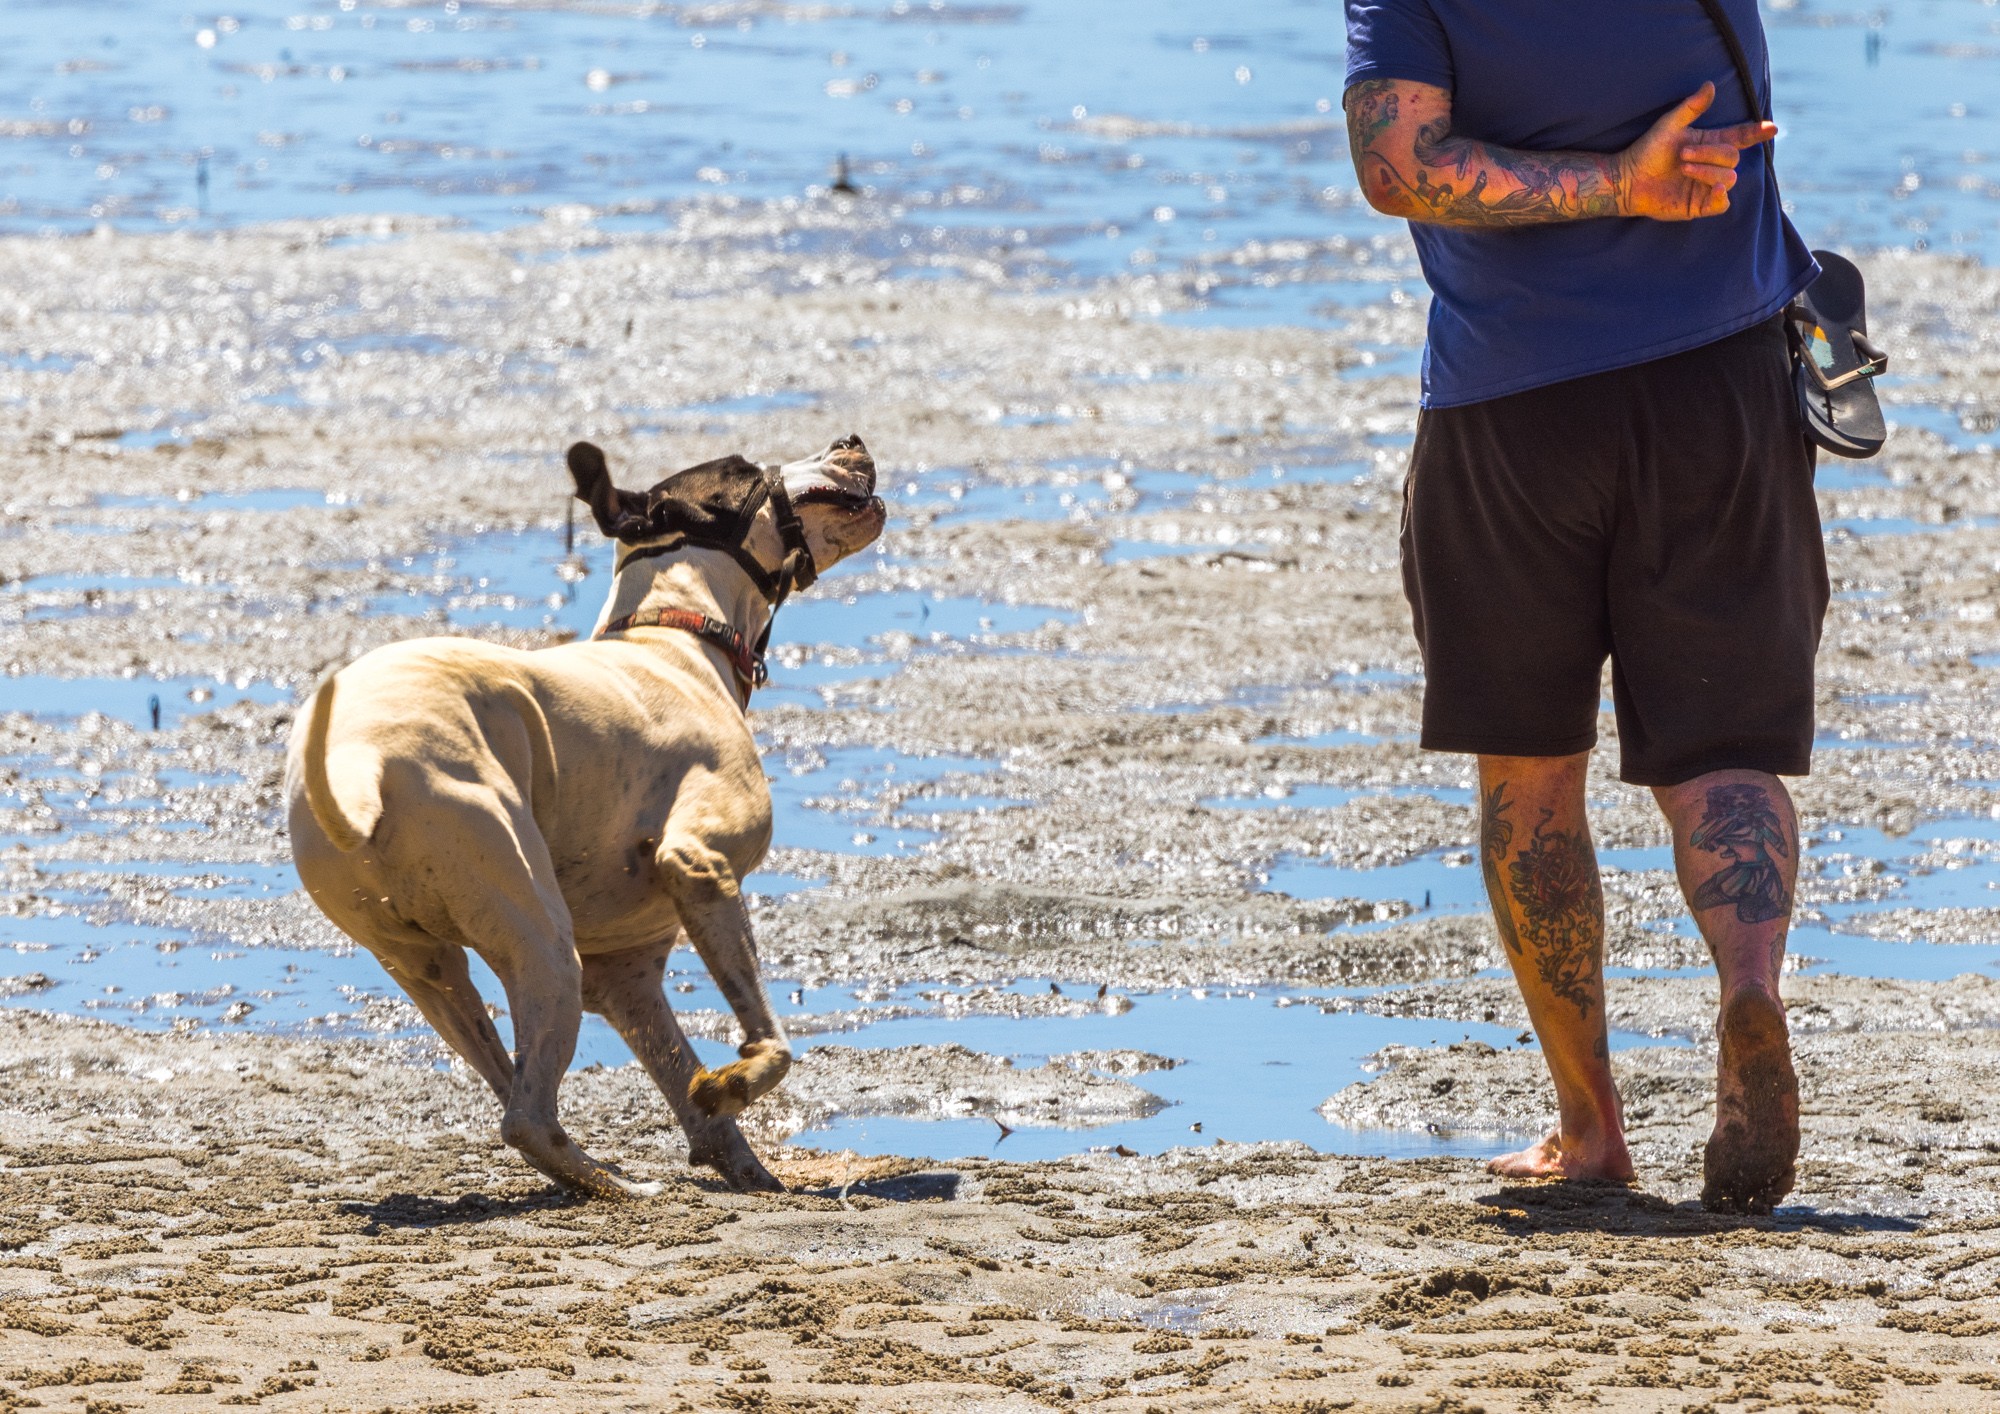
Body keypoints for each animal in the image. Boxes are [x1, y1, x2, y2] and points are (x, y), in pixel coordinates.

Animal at [288, 434, 884, 1192]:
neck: (674, 639)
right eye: (744, 470)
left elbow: (691, 1092)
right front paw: (733, 1083)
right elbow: (771, 1043)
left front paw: (744, 1161)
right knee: (526, 1117)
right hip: (543, 946)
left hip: (434, 972)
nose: (850, 442)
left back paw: (597, 1171)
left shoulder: (627, 980)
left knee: (509, 1087)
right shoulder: (701, 867)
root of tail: (357, 761)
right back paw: (619, 1186)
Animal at [1696, 784, 1792, 928]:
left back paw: (1781, 904)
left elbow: (1782, 846)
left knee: (1746, 913)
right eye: (1732, 798)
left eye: (1746, 796)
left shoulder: (1768, 819)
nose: (1741, 804)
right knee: (1701, 897)